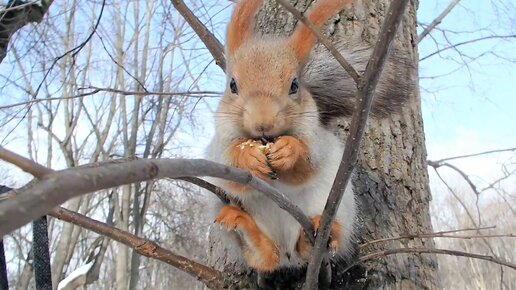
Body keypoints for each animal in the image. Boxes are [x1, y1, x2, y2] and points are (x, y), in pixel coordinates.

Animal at [206, 0, 412, 272]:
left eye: (294, 85)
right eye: (232, 85)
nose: (263, 122)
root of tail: (288, 256)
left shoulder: (317, 140)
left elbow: (308, 165)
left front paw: (289, 150)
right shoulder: (217, 145)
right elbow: (229, 168)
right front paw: (248, 155)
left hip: (336, 206)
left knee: (306, 246)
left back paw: (316, 236)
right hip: (220, 202)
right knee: (265, 258)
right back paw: (242, 226)